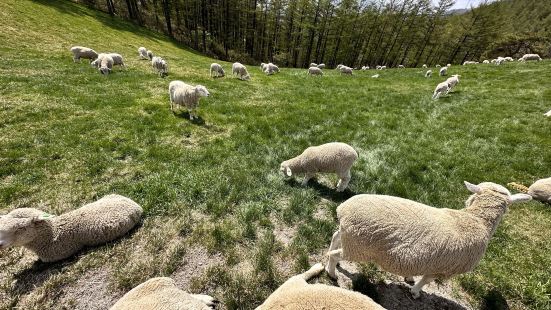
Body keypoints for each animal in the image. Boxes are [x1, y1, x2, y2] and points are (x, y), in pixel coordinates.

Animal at [326, 182, 532, 298]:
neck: (475, 220)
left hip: (348, 235)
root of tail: (344, 209)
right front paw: (416, 292)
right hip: (358, 247)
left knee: (335, 239)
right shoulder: (443, 269)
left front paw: (409, 278)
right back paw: (331, 273)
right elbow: (426, 280)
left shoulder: (431, 260)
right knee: (336, 255)